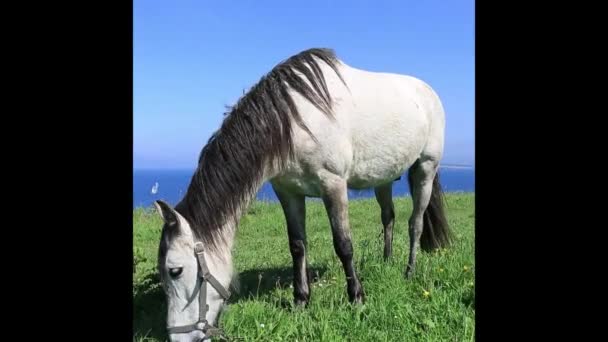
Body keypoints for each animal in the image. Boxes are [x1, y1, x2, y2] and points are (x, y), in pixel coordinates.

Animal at [152, 48, 452, 342]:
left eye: (175, 271)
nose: (178, 338)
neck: (293, 121)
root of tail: (428, 93)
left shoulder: (333, 185)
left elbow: (344, 244)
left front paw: (356, 298)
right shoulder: (288, 192)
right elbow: (297, 246)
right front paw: (301, 300)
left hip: (425, 168)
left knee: (415, 223)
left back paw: (409, 271)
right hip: (385, 178)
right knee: (388, 217)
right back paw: (386, 261)